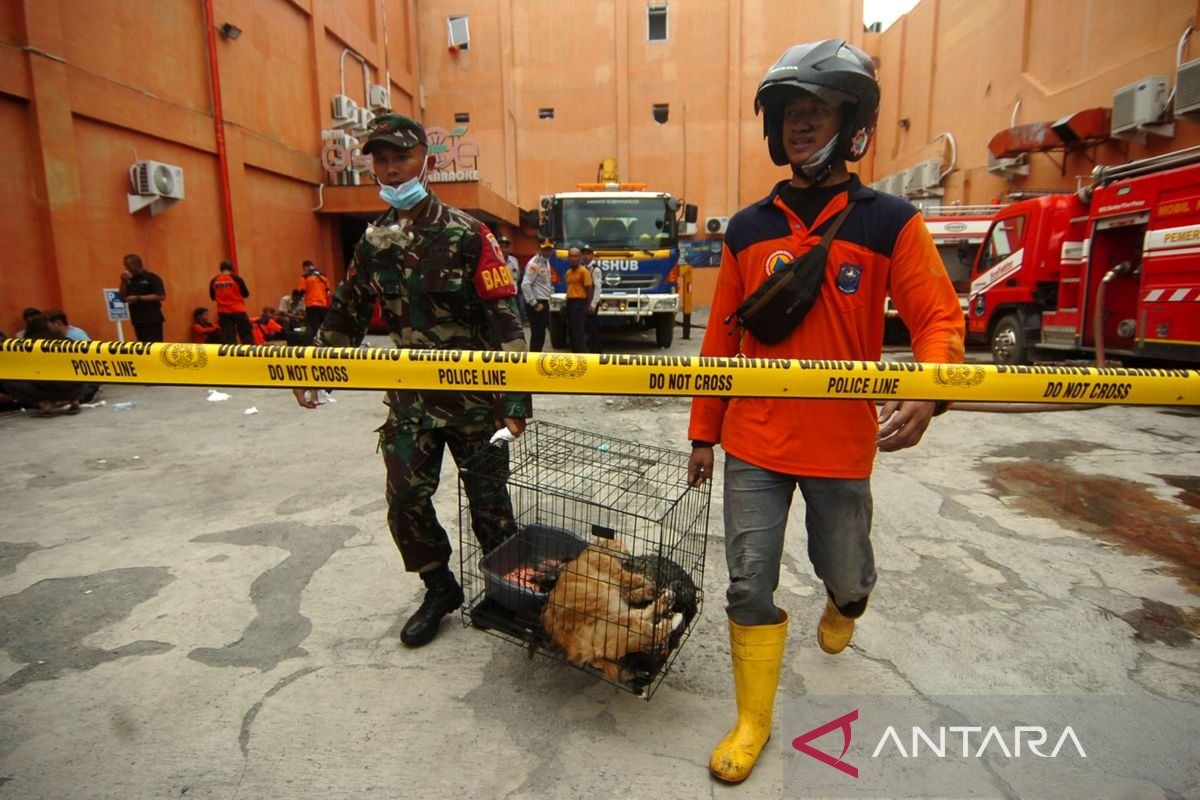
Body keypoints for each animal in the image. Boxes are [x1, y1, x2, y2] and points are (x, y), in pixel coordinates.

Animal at [542, 537, 681, 681]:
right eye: (622, 546)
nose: (630, 556)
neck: (593, 550)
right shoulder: (620, 574)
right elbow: (639, 579)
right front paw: (652, 587)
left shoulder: (624, 591)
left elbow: (637, 592)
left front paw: (651, 591)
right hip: (611, 614)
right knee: (649, 630)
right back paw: (672, 616)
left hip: (617, 613)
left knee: (641, 618)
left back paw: (668, 601)